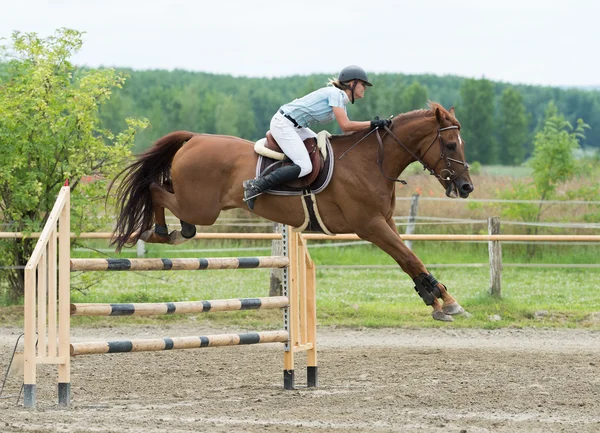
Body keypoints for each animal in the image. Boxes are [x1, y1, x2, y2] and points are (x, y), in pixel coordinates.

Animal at [109, 102, 474, 320]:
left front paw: (438, 298)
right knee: (154, 189)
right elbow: (410, 258)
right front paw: (444, 301)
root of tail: (194, 138)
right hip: (202, 207)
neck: (372, 160)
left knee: (167, 195)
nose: (466, 187)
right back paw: (158, 231)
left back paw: (173, 231)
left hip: (197, 205)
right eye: (450, 145)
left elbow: (408, 259)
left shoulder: (384, 222)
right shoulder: (369, 225)